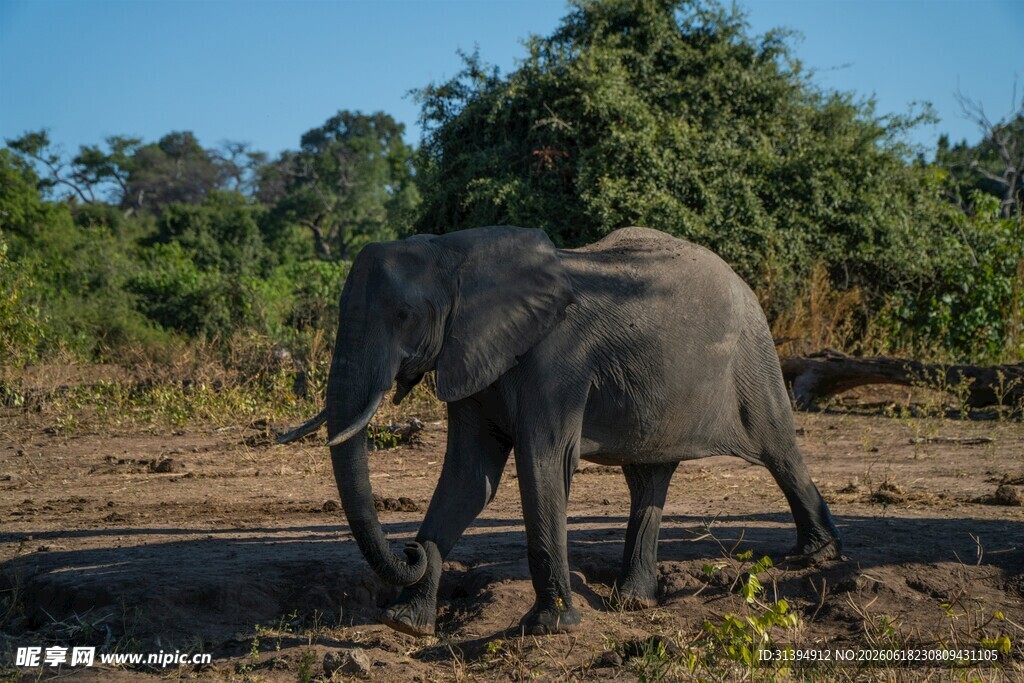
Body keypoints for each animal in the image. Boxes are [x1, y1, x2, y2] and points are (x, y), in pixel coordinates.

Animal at [279, 225, 842, 636]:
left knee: (778, 449)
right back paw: (633, 602)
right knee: (648, 478)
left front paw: (549, 628)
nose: (410, 551)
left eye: (403, 315)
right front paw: (406, 625)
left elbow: (542, 462)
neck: (456, 253)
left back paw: (815, 556)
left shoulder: (560, 363)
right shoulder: (470, 356)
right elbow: (468, 478)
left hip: (753, 356)